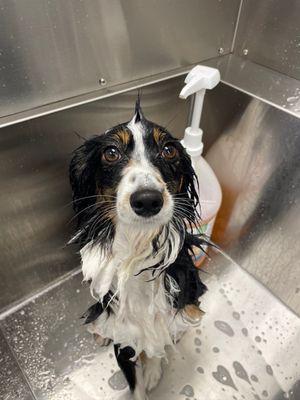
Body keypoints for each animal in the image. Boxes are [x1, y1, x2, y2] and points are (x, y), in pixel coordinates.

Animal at [69, 100, 207, 400]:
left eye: (169, 150)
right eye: (111, 152)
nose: (147, 200)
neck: (138, 249)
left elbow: (157, 340)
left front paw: (153, 369)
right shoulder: (122, 335)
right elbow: (134, 383)